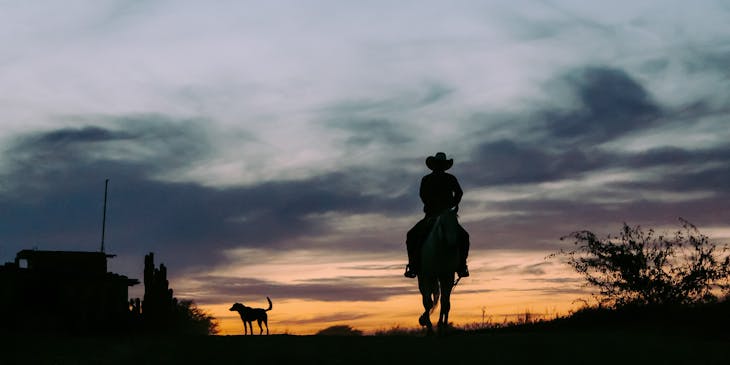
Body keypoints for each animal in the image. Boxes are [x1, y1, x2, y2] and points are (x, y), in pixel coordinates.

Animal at [418, 208, 458, 336]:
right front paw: (426, 323)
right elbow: (428, 303)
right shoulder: (427, 276)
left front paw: (442, 326)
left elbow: (445, 303)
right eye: (442, 224)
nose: (453, 245)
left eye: (456, 222)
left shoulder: (448, 276)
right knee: (426, 300)